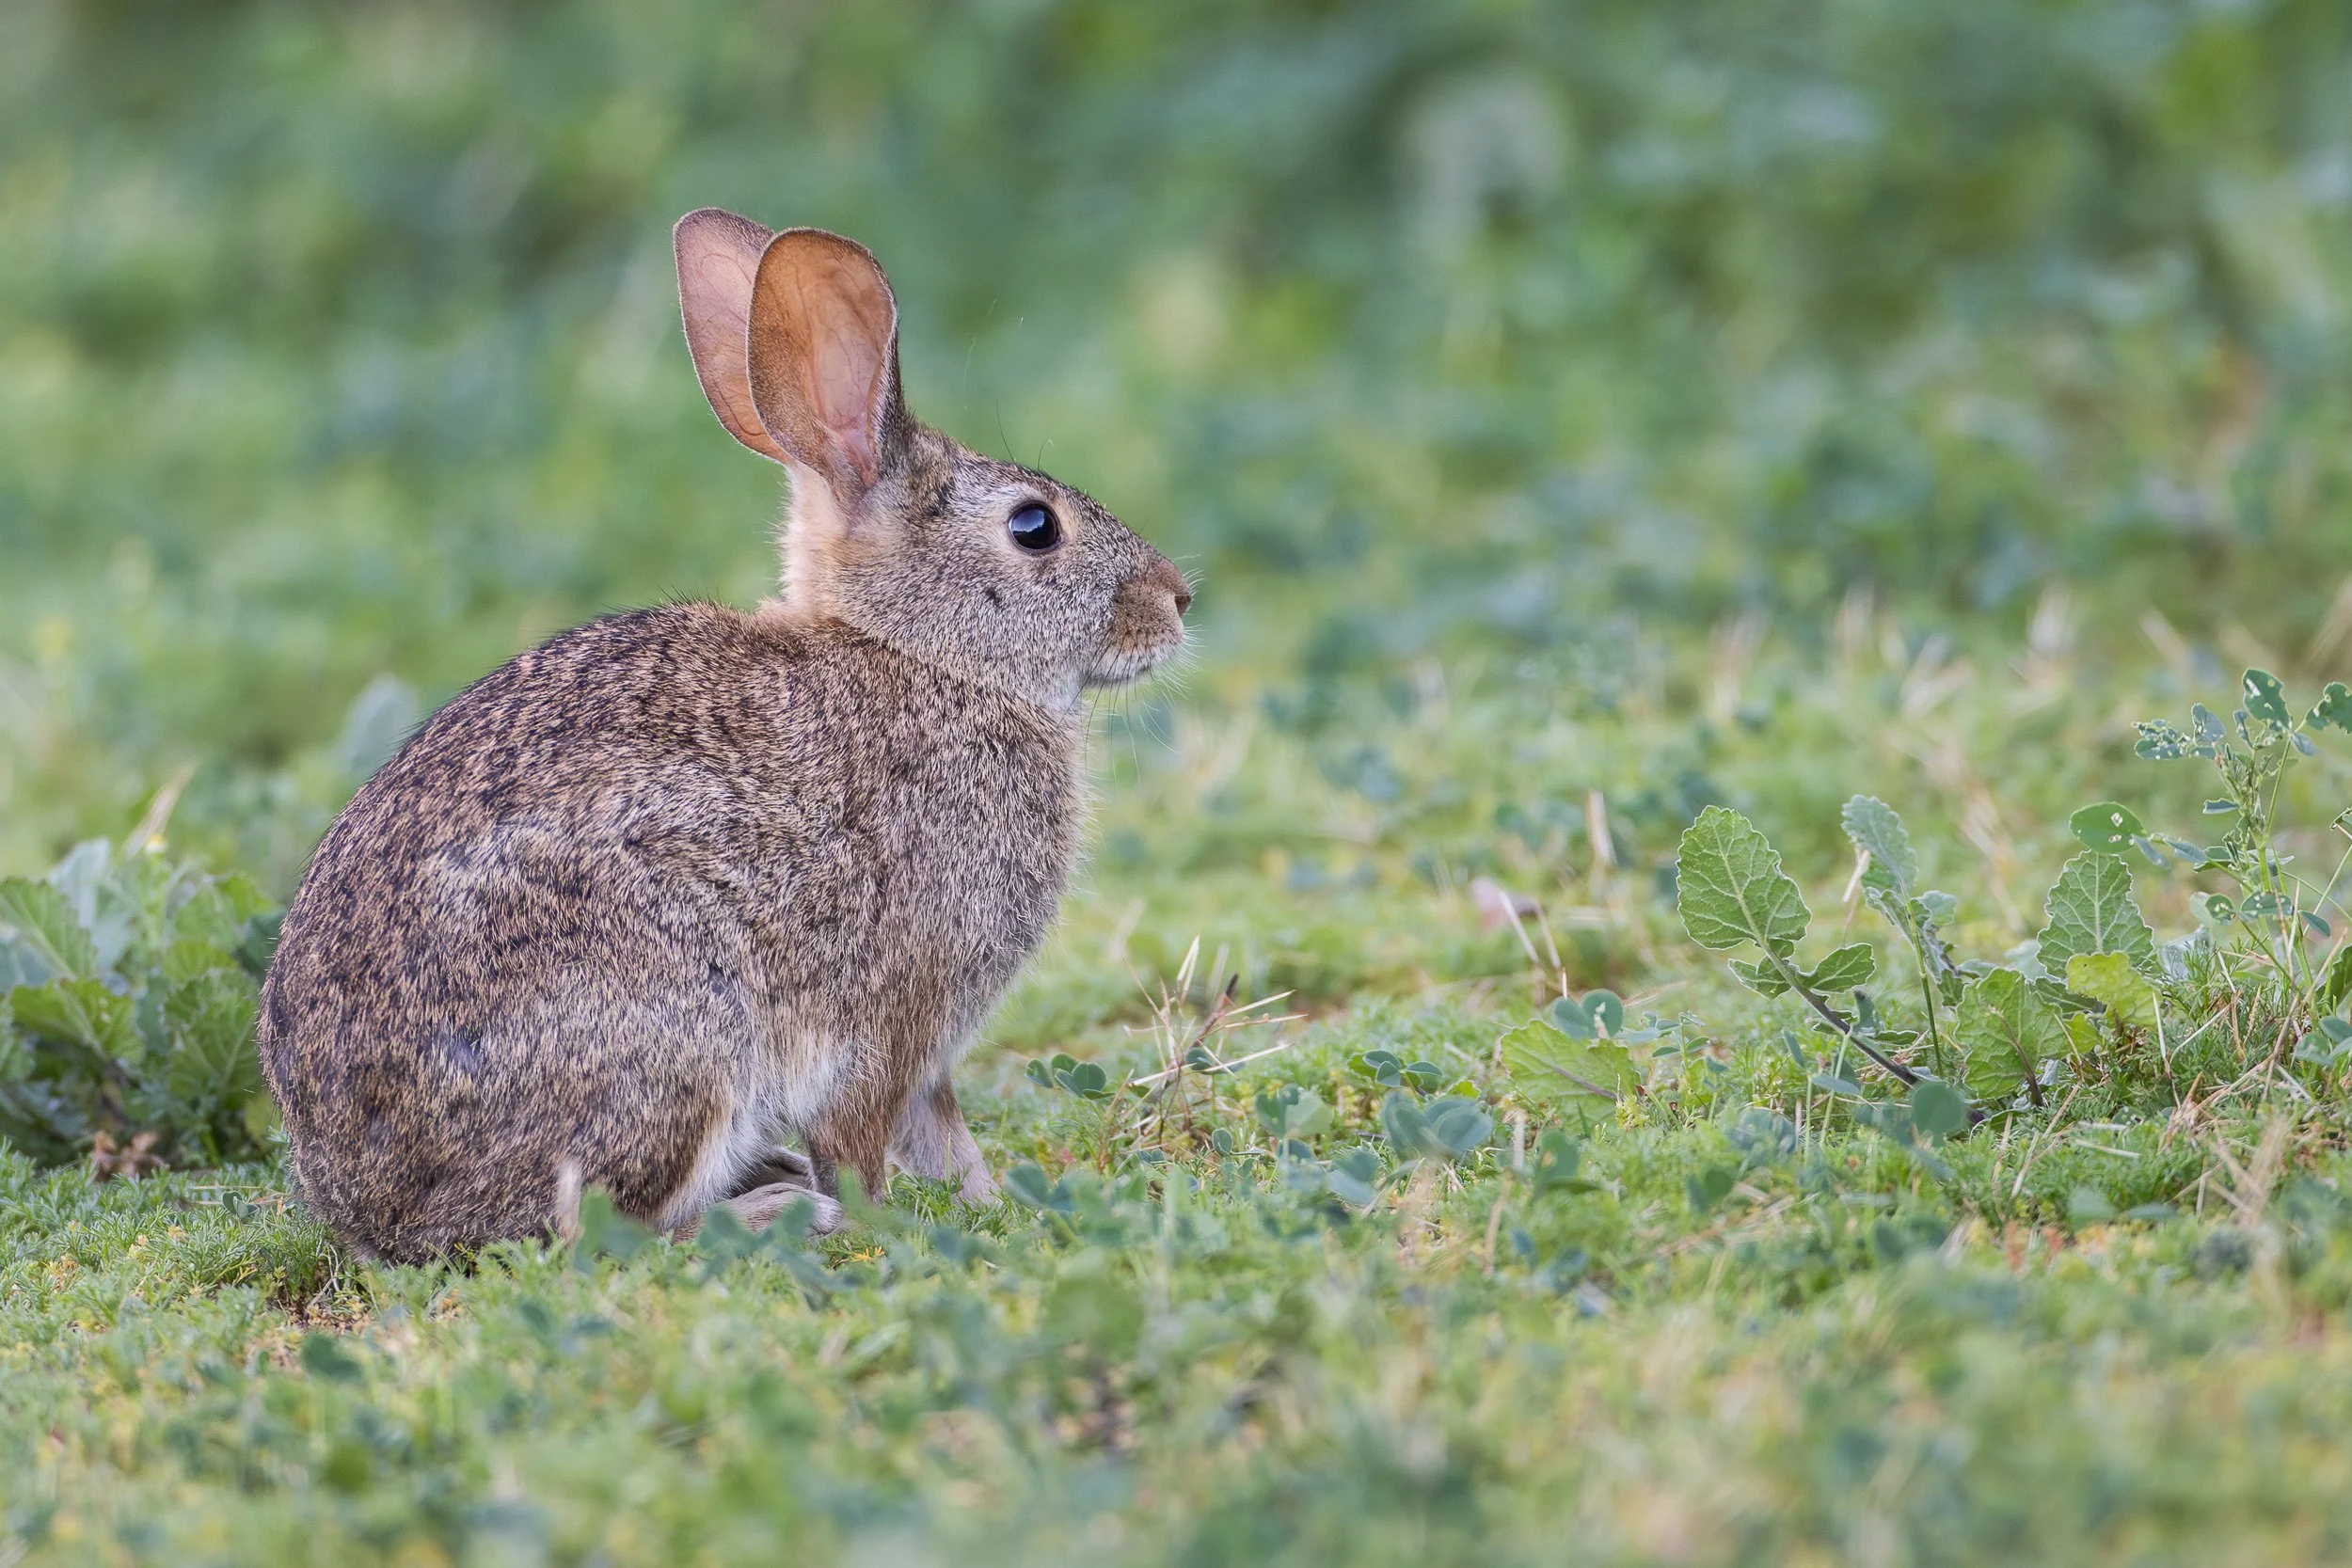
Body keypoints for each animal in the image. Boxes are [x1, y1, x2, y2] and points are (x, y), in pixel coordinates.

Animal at [255, 208, 1192, 1264]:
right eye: (1035, 527)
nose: (1176, 601)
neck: (920, 654)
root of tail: (371, 1210)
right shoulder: (892, 1013)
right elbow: (868, 1141)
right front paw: (890, 1220)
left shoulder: (931, 1044)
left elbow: (946, 1131)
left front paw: (998, 1204)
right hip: (675, 1042)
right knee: (591, 1233)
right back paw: (775, 1211)